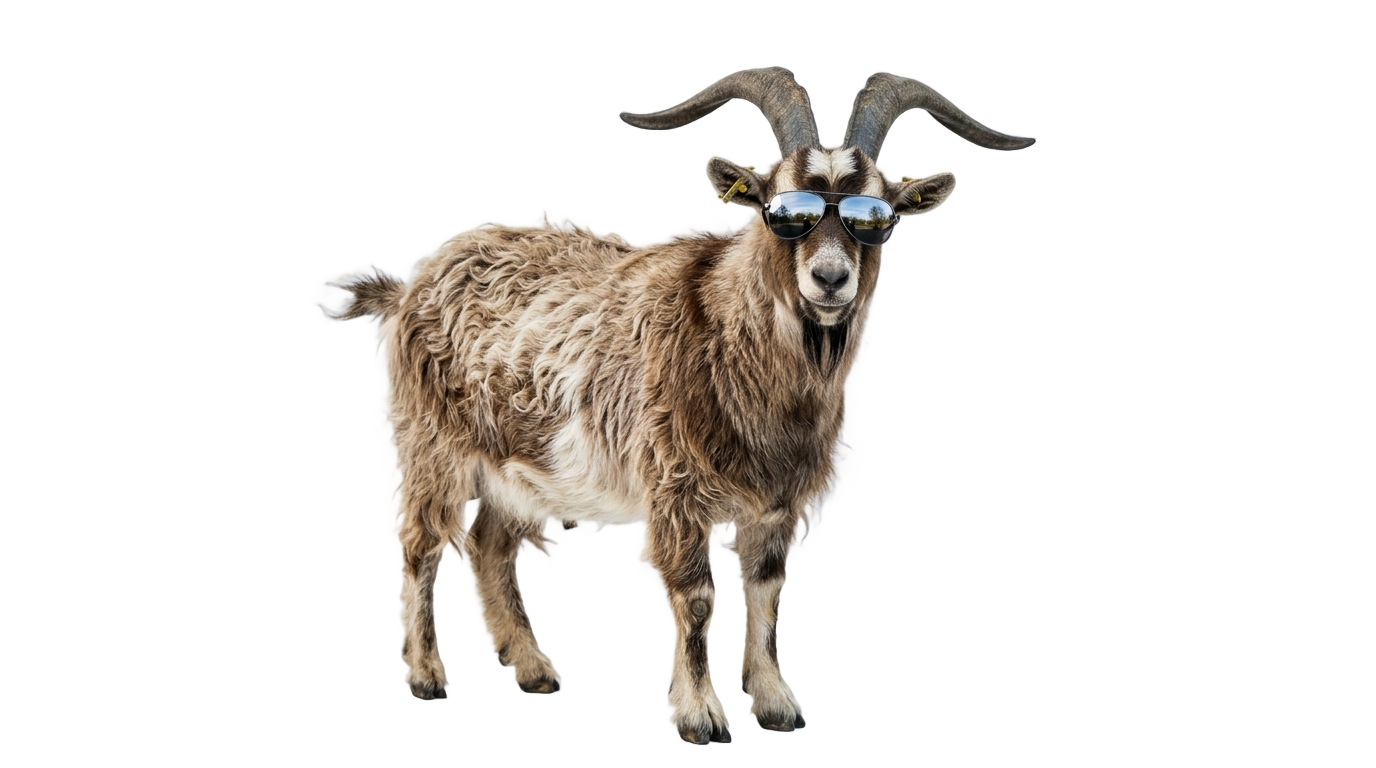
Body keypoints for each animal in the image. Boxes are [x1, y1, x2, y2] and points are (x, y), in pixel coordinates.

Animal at [333, 66, 1034, 743]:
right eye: (779, 209)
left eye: (878, 216)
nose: (831, 278)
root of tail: (412, 285)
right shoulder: (673, 485)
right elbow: (694, 596)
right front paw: (698, 717)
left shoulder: (778, 502)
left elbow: (766, 593)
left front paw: (776, 704)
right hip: (431, 442)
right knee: (420, 543)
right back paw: (427, 678)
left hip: (513, 464)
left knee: (489, 545)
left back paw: (533, 671)